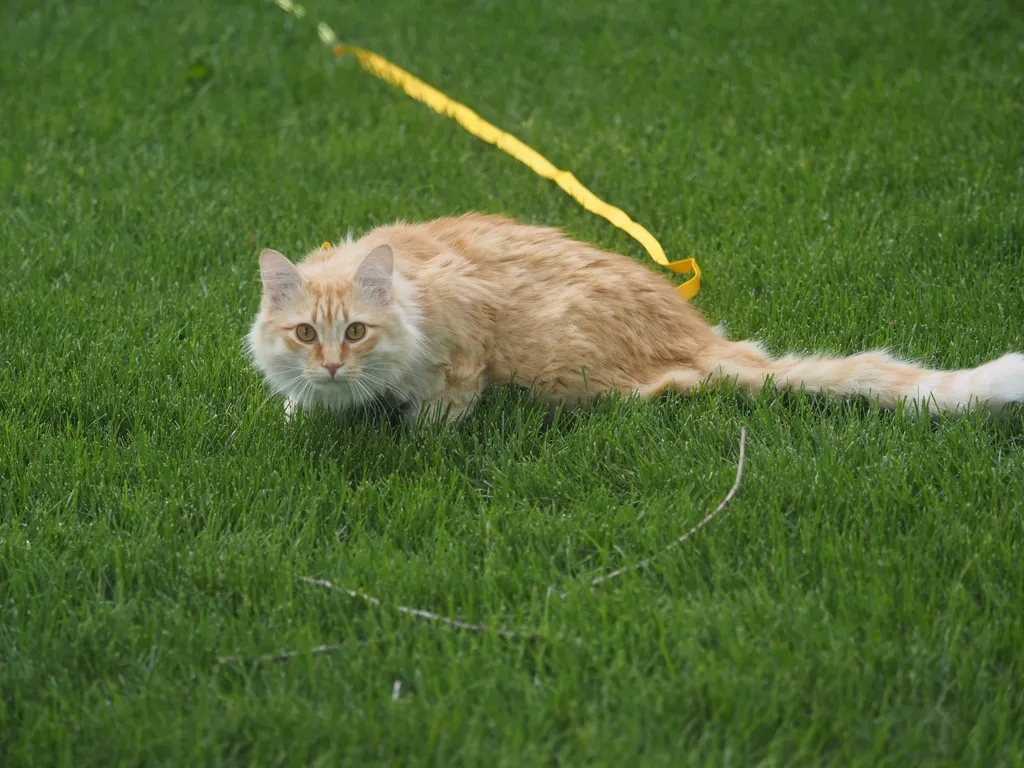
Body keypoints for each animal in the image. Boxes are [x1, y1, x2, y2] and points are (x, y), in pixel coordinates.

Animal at [247, 214, 1024, 423]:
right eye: (306, 334)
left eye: (355, 332)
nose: (331, 366)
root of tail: (698, 332)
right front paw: (303, 409)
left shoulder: (464, 349)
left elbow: (438, 414)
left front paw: (414, 440)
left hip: (566, 371)